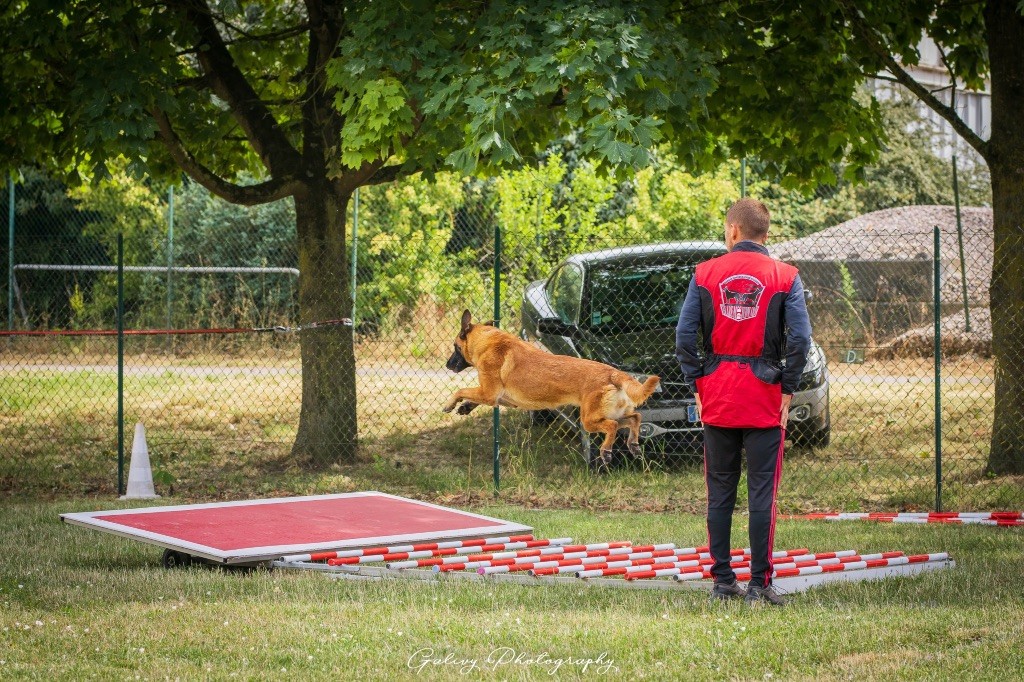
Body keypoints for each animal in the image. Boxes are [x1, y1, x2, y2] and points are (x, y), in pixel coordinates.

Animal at [444, 309, 659, 464]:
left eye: (455, 347)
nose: (447, 365)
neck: (487, 341)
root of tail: (613, 372)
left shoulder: (489, 393)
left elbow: (461, 390)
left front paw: (450, 404)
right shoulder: (499, 398)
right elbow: (471, 396)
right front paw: (465, 406)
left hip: (589, 421)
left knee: (613, 426)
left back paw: (606, 451)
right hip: (610, 414)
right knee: (634, 418)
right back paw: (633, 445)